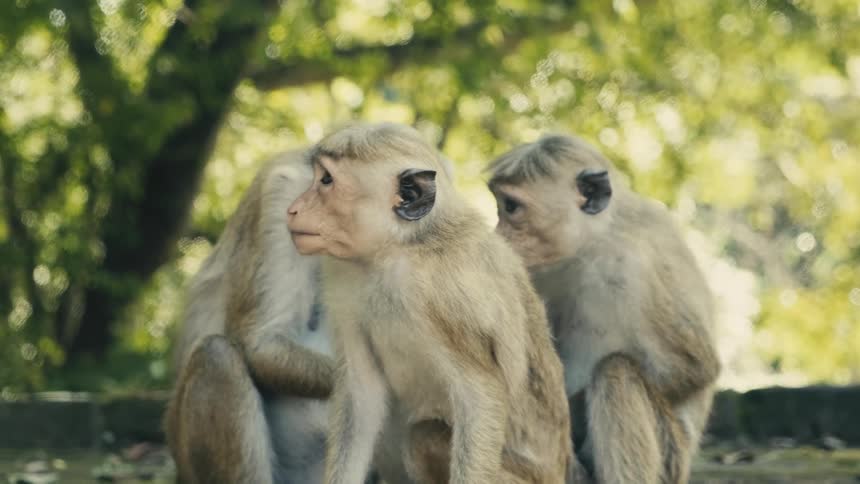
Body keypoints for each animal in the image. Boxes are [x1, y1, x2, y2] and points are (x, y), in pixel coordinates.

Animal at [286, 122, 586, 484]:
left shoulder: (445, 295)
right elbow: (362, 398)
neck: (398, 250)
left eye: (326, 180)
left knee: (423, 436)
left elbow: (481, 396)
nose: (294, 208)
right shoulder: (343, 279)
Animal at [487, 134, 721, 484]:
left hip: (673, 460)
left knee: (616, 371)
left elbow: (695, 369)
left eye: (511, 207)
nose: (497, 234)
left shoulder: (635, 264)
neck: (594, 242)